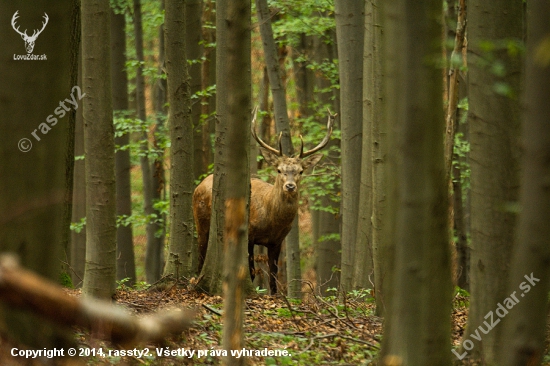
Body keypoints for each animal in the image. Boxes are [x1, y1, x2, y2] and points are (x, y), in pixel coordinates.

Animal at [194, 108, 336, 294]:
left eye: (300, 171)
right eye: (279, 170)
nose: (290, 186)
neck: (272, 221)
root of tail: (199, 184)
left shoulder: (277, 241)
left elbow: (274, 275)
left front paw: (275, 296)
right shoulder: (249, 234)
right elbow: (252, 271)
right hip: (201, 220)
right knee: (201, 253)